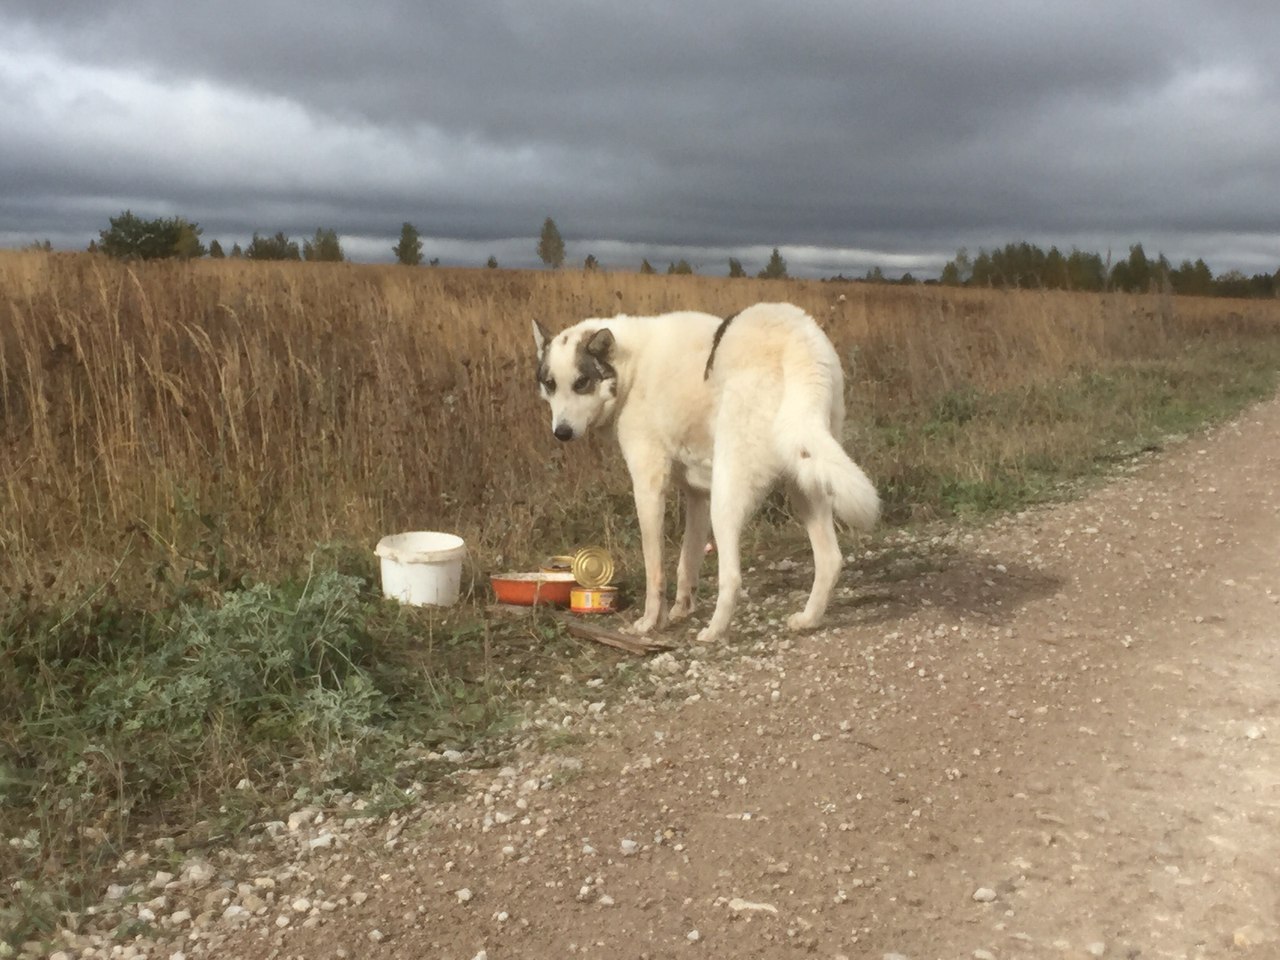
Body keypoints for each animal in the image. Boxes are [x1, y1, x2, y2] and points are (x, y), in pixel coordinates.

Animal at [532, 304, 880, 642]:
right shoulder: (697, 495)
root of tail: (796, 341)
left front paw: (650, 622)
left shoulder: (649, 488)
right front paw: (680, 610)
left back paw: (714, 631)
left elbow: (655, 569)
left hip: (728, 495)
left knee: (733, 577)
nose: (561, 433)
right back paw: (808, 619)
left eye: (581, 382)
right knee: (830, 559)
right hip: (807, 477)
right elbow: (687, 562)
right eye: (550, 384)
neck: (630, 367)